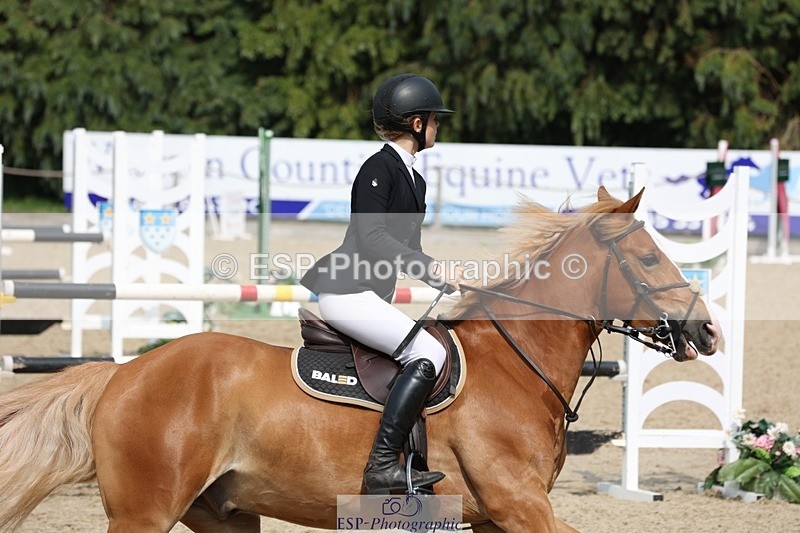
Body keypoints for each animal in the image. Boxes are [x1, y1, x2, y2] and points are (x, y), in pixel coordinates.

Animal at [0, 187, 720, 532]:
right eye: (649, 256)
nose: (708, 330)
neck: (516, 368)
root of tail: (123, 372)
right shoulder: (521, 507)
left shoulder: (496, 519)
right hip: (144, 514)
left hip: (225, 514)